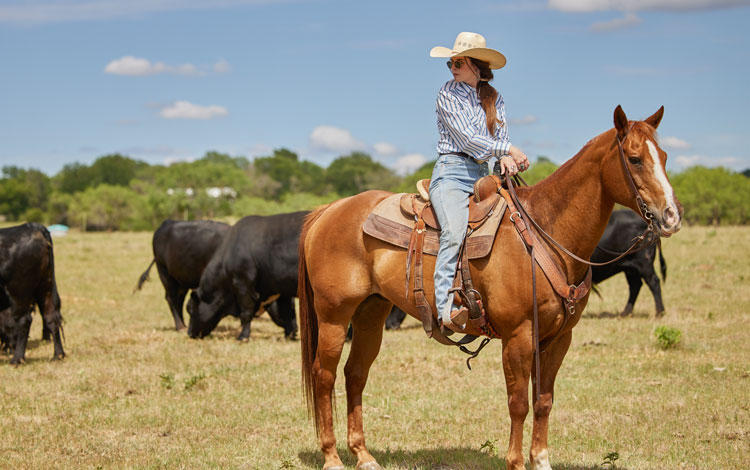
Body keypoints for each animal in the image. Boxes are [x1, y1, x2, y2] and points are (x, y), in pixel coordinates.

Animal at [0, 223, 65, 364]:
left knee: (24, 320)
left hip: (19, 291)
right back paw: (58, 355)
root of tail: (32, 226)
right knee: (51, 317)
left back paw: (17, 359)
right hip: (46, 287)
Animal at [187, 211, 306, 340]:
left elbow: (246, 313)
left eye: (190, 310)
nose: (189, 333)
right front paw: (289, 336)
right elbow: (287, 312)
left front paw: (243, 337)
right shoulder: (280, 289)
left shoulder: (243, 285)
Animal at [298, 106, 680, 470]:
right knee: (324, 375)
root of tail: (327, 211)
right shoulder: (518, 336)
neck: (545, 231)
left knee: (355, 374)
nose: (671, 215)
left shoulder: (558, 338)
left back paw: (363, 455)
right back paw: (332, 457)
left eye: (663, 156)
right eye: (634, 158)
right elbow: (519, 403)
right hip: (334, 316)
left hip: (370, 313)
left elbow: (543, 401)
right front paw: (516, 462)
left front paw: (541, 460)